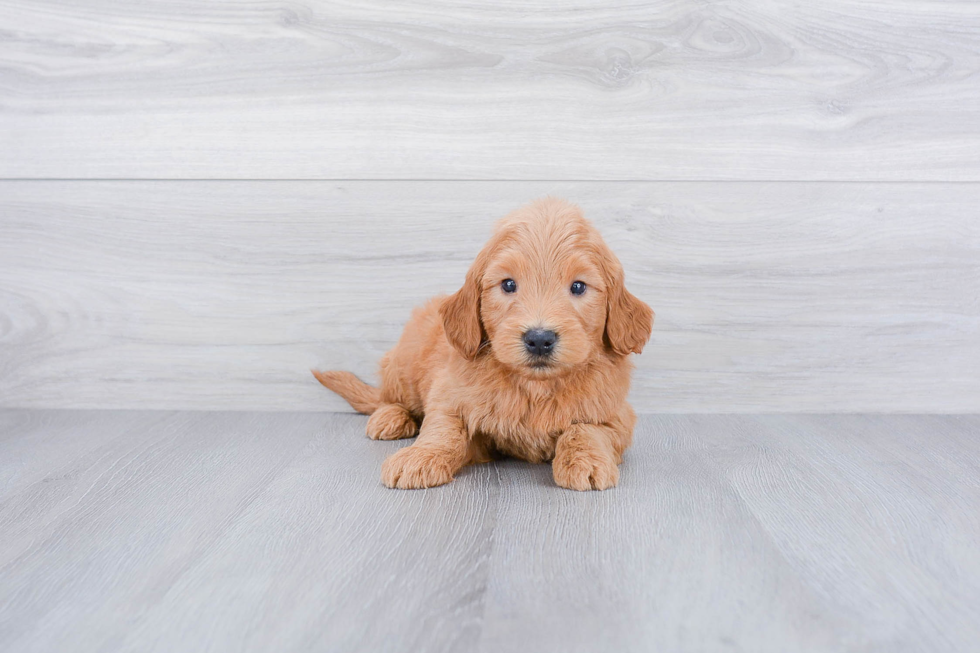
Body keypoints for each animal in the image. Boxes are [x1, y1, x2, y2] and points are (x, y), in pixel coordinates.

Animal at [314, 199, 652, 488]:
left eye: (579, 287)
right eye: (508, 284)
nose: (539, 339)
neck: (535, 388)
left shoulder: (616, 414)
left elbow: (586, 429)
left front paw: (585, 461)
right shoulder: (448, 393)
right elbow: (443, 428)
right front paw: (419, 457)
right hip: (403, 364)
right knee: (388, 397)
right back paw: (390, 417)